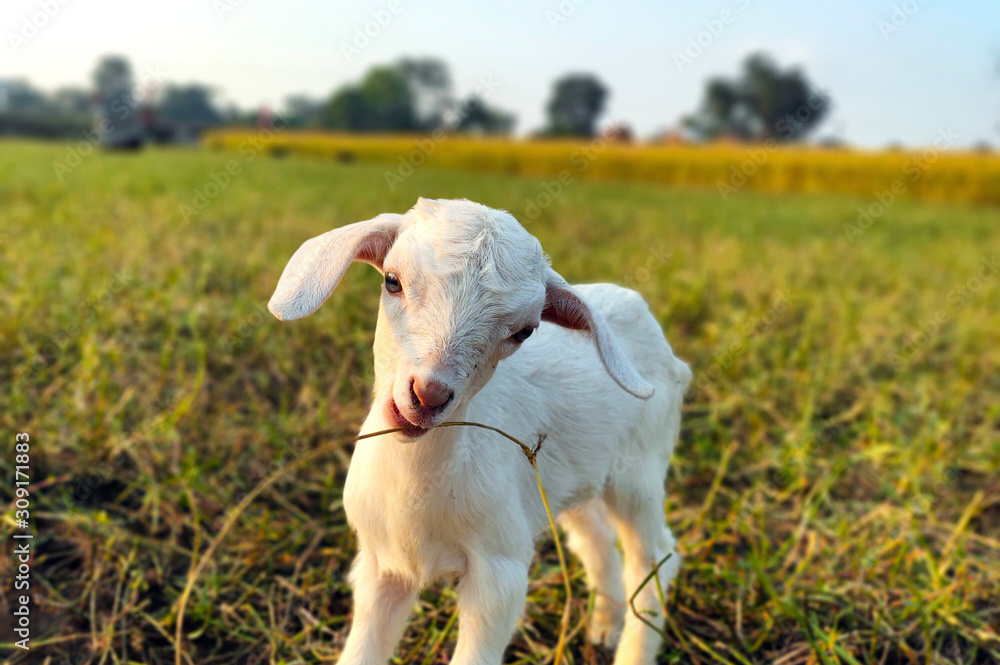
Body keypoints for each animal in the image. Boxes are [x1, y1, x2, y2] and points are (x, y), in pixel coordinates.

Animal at [268, 198, 691, 665]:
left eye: (523, 331)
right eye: (392, 281)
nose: (428, 394)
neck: (418, 483)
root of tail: (636, 304)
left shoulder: (499, 571)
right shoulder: (382, 565)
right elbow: (362, 650)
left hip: (640, 470)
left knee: (654, 558)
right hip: (570, 475)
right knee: (596, 538)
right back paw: (603, 627)